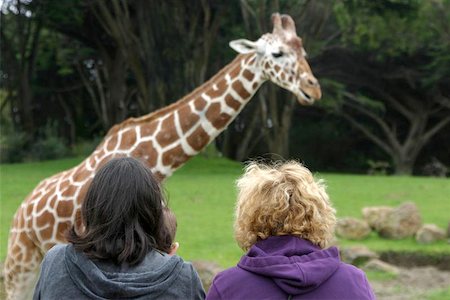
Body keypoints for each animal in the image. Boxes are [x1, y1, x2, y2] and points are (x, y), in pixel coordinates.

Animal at [2, 12, 320, 298]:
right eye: (277, 53)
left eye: (303, 51)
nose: (312, 88)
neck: (152, 160)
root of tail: (21, 211)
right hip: (21, 262)